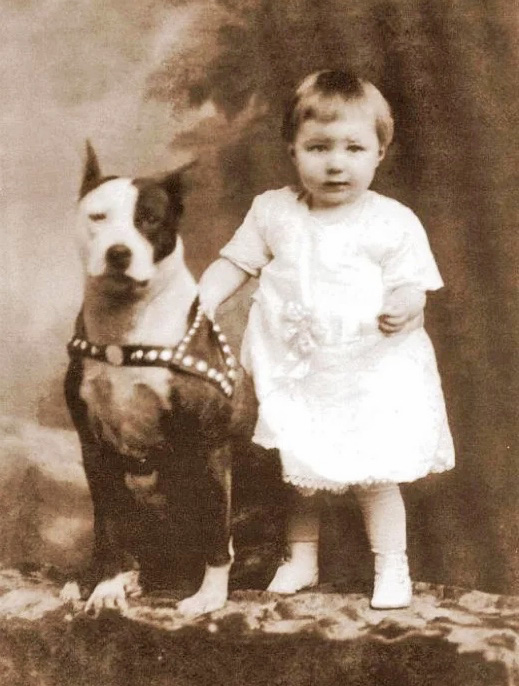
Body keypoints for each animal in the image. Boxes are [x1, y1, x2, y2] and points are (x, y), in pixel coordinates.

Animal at [62, 142, 285, 617]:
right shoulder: (93, 448)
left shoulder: (209, 446)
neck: (127, 330)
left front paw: (210, 596)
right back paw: (116, 580)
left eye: (149, 219)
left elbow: (216, 529)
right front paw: (106, 587)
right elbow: (107, 528)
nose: (119, 253)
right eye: (97, 217)